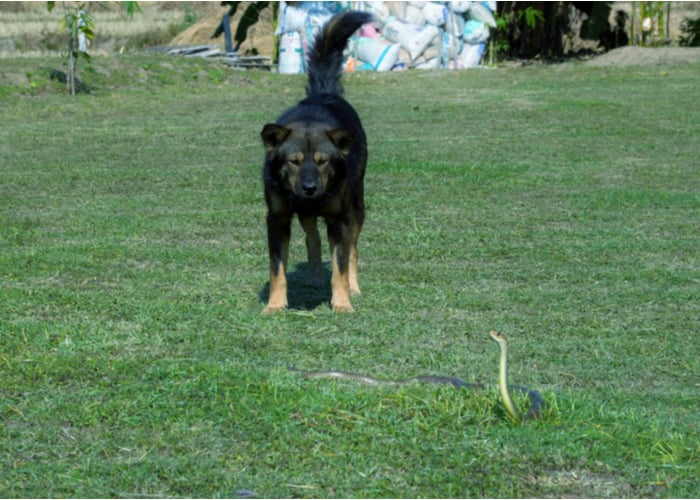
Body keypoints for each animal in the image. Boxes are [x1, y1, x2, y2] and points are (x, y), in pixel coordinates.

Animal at [262, 10, 372, 312]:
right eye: (294, 161)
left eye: (324, 161)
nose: (310, 188)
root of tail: (325, 93)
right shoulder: (277, 219)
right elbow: (277, 269)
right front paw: (275, 305)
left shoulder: (340, 219)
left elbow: (341, 265)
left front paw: (343, 303)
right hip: (306, 213)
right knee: (313, 238)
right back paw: (312, 275)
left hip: (356, 206)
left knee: (352, 248)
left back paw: (354, 287)